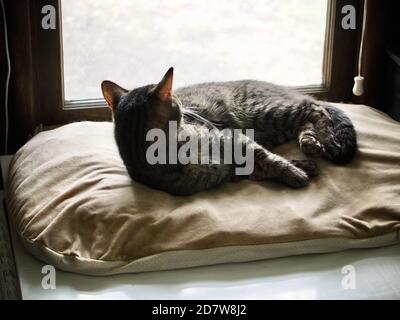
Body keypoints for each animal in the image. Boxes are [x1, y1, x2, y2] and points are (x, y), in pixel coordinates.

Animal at [101, 67, 356, 195]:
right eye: (177, 102)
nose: (185, 107)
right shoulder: (232, 169)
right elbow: (263, 166)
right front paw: (300, 168)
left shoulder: (234, 138)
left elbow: (267, 158)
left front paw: (294, 172)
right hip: (274, 126)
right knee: (305, 121)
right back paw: (310, 144)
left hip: (267, 113)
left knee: (314, 109)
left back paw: (327, 142)